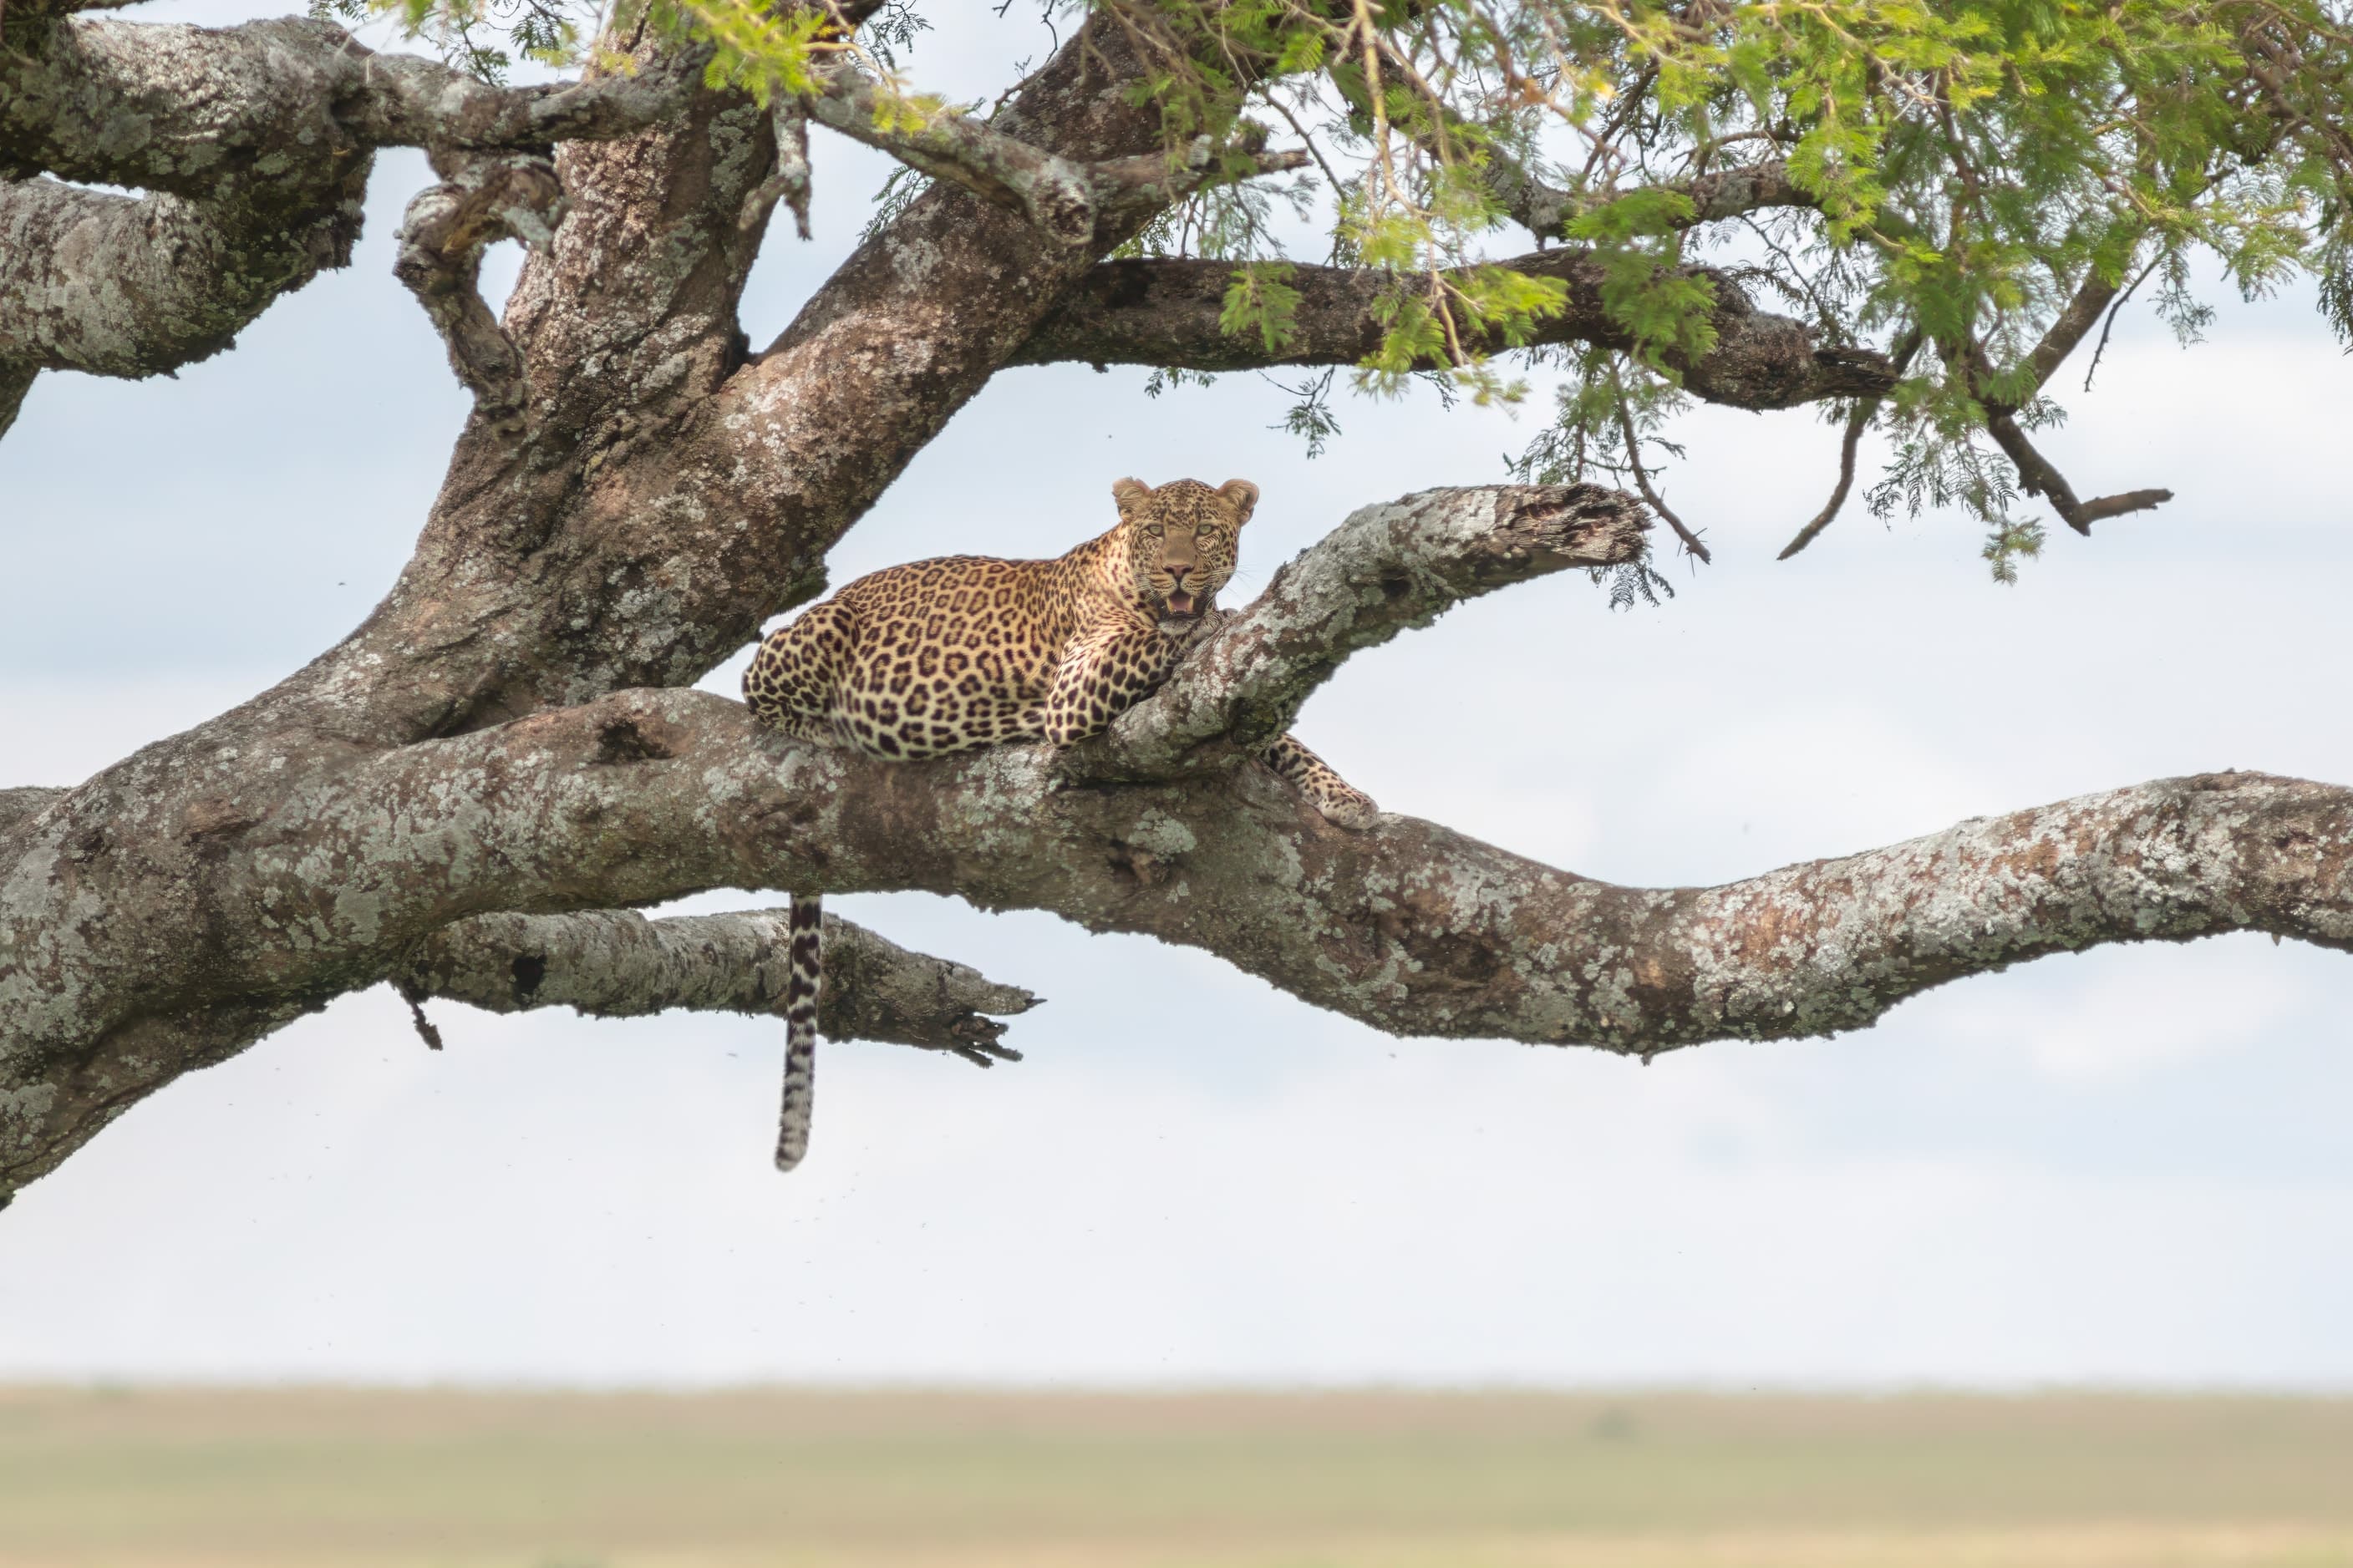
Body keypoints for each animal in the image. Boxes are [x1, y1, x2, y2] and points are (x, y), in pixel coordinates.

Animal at [742, 476, 1378, 1170]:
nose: (1179, 569)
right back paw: (821, 726)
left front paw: (1346, 797)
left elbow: (1290, 744)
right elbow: (1166, 638)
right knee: (754, 687)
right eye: (1157, 531)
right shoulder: (1076, 690)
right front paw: (1216, 619)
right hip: (817, 632)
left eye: (1206, 530)